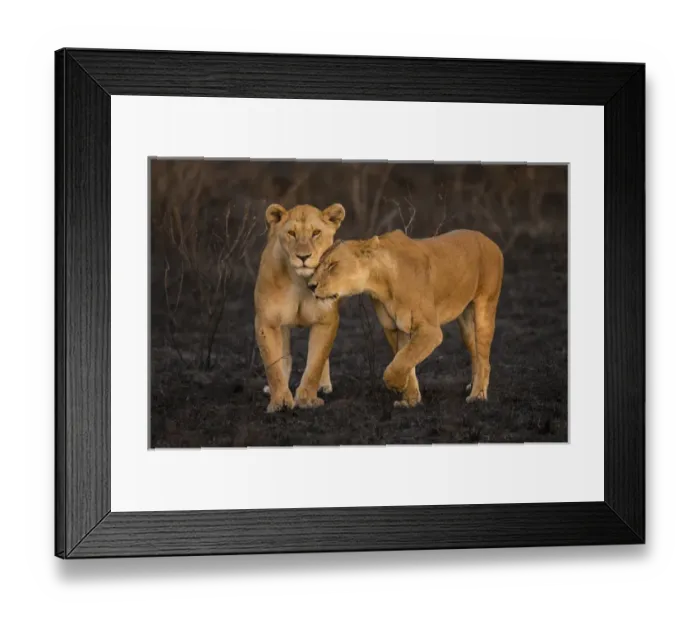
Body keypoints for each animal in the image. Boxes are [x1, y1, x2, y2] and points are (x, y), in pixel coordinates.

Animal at [254, 202, 346, 413]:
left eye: (316, 233)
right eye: (292, 233)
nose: (303, 256)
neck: (301, 281)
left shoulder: (326, 321)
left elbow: (317, 362)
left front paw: (307, 400)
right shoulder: (267, 322)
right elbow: (273, 364)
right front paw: (279, 401)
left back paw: (324, 385)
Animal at [307, 228, 504, 407]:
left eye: (333, 265)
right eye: (318, 265)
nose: (311, 285)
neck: (380, 284)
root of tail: (490, 241)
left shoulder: (430, 330)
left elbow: (404, 359)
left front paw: (396, 385)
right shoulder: (395, 328)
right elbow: (404, 358)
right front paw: (410, 400)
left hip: (484, 308)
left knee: (484, 359)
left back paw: (477, 395)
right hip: (466, 324)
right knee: (475, 352)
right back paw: (473, 385)